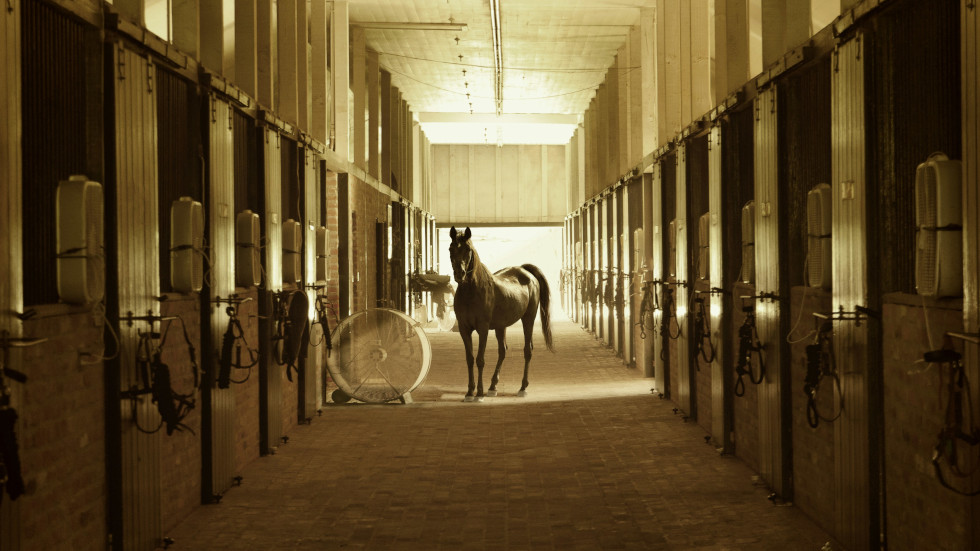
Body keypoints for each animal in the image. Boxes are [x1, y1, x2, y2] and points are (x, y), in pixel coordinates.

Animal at [450, 226, 556, 404]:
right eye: (451, 248)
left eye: (467, 249)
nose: (460, 274)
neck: (471, 291)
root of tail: (525, 271)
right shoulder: (464, 329)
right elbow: (470, 359)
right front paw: (469, 392)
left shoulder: (483, 329)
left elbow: (480, 359)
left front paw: (479, 394)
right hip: (501, 326)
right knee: (503, 351)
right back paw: (493, 387)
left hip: (528, 318)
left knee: (528, 350)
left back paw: (522, 388)